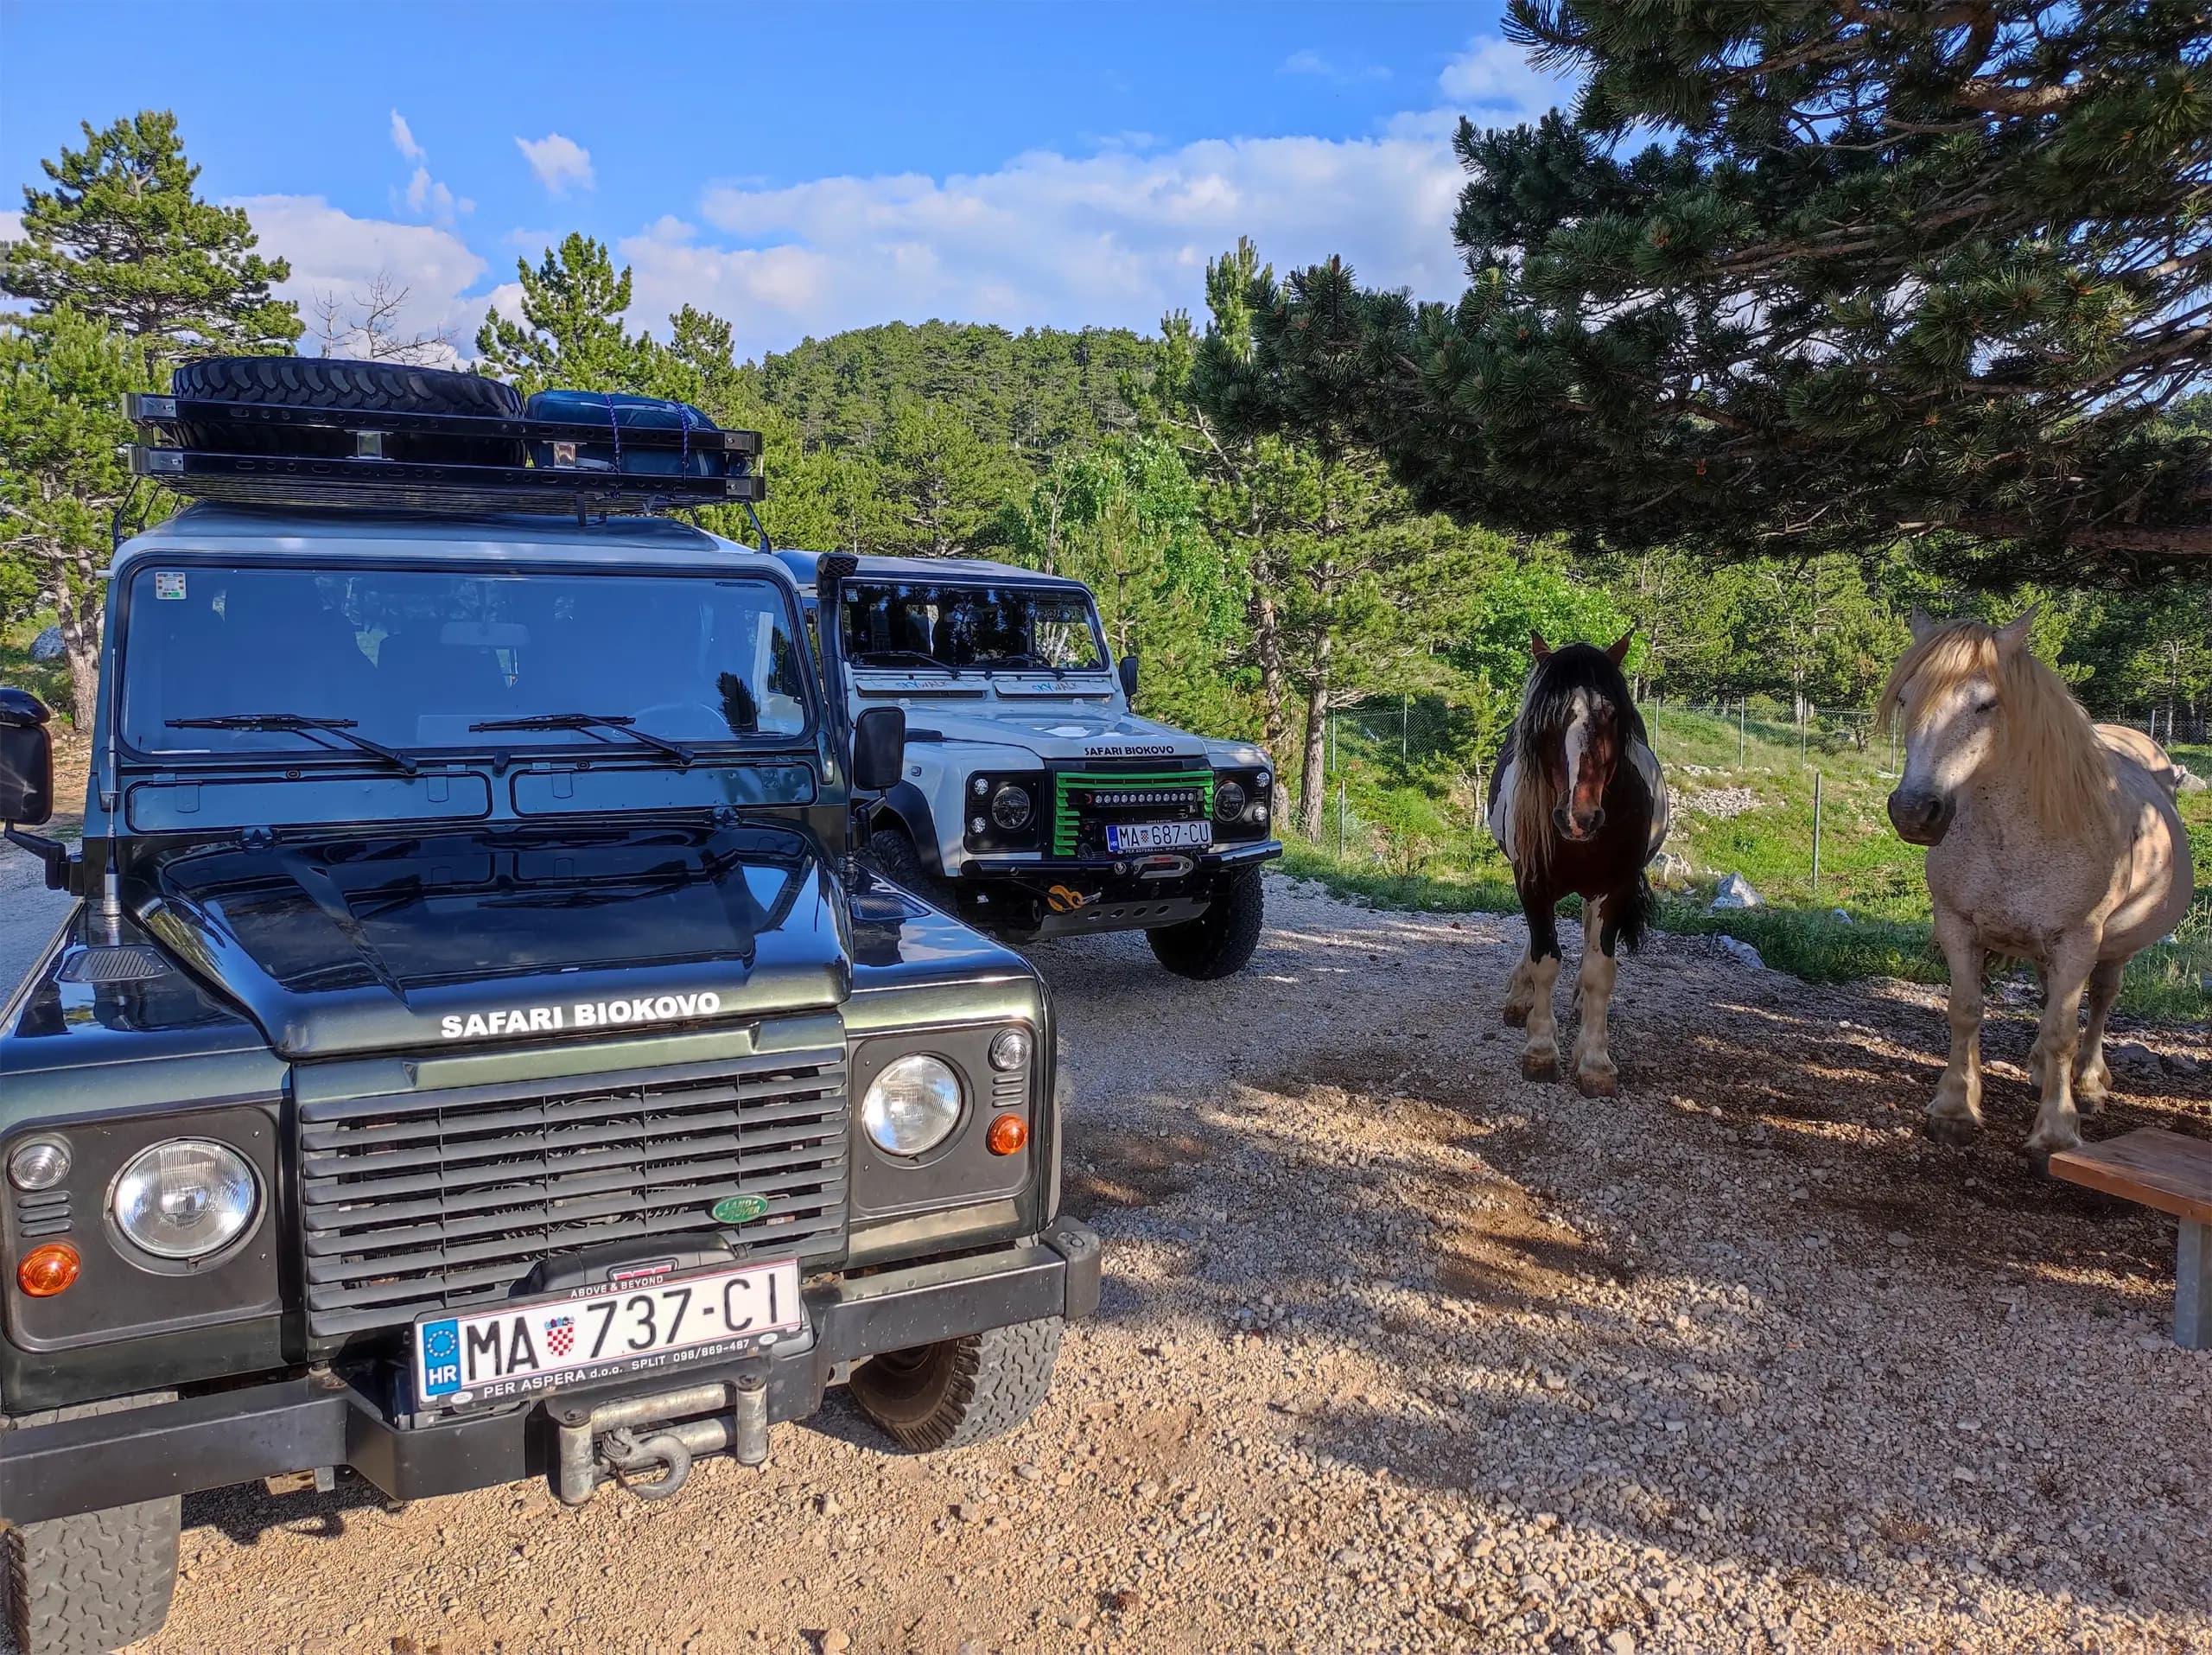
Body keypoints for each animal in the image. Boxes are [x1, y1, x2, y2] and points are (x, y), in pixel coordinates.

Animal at [1495, 628, 1663, 1092]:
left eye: (1611, 714)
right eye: (1545, 722)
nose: (1578, 817)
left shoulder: (1616, 887)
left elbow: (1599, 969)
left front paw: (1593, 1059)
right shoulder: (1532, 882)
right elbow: (1545, 958)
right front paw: (1540, 1047)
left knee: (1589, 935)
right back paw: (1521, 998)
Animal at [1885, 610, 2194, 1159]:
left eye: (1986, 703)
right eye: (1905, 698)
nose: (1915, 811)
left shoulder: (2078, 938)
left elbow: (2062, 1033)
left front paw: (2055, 1131)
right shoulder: (1956, 924)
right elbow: (1965, 1011)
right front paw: (1955, 1109)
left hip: (2110, 947)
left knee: (2100, 1001)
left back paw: (2087, 1084)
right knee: (2052, 998)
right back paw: (2039, 1071)